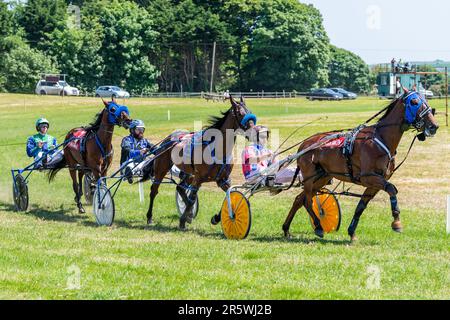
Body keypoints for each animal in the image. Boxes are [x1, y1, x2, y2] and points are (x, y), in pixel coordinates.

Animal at [143, 95, 256, 230]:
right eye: (240, 113)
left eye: (250, 111)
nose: (254, 132)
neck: (217, 150)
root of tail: (169, 138)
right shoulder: (199, 178)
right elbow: (192, 198)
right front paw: (182, 220)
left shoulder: (223, 180)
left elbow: (230, 194)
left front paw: (216, 218)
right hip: (162, 169)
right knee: (154, 190)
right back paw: (150, 217)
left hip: (189, 174)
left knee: (180, 187)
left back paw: (189, 213)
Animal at [284, 89, 438, 241]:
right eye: (414, 102)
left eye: (426, 99)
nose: (433, 126)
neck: (381, 139)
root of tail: (304, 144)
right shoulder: (368, 177)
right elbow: (392, 189)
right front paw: (397, 222)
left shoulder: (376, 182)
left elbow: (361, 206)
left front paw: (352, 232)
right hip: (310, 177)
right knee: (307, 201)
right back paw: (318, 226)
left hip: (322, 177)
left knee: (299, 199)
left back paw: (286, 229)